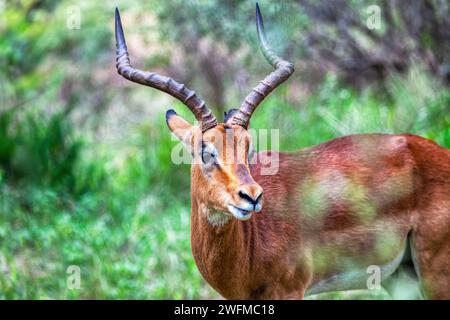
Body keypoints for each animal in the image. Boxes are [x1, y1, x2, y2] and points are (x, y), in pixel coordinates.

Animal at [115, 5, 450, 300]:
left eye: (248, 146)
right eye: (204, 151)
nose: (251, 196)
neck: (249, 243)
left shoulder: (291, 291)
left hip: (434, 275)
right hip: (401, 277)